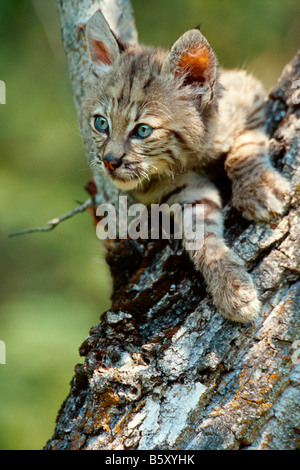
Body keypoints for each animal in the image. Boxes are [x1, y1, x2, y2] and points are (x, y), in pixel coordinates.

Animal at [82, 11, 290, 322]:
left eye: (142, 131)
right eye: (101, 123)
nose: (110, 161)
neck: (188, 155)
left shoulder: (247, 91)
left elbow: (244, 149)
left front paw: (259, 190)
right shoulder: (184, 189)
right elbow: (202, 237)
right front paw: (232, 288)